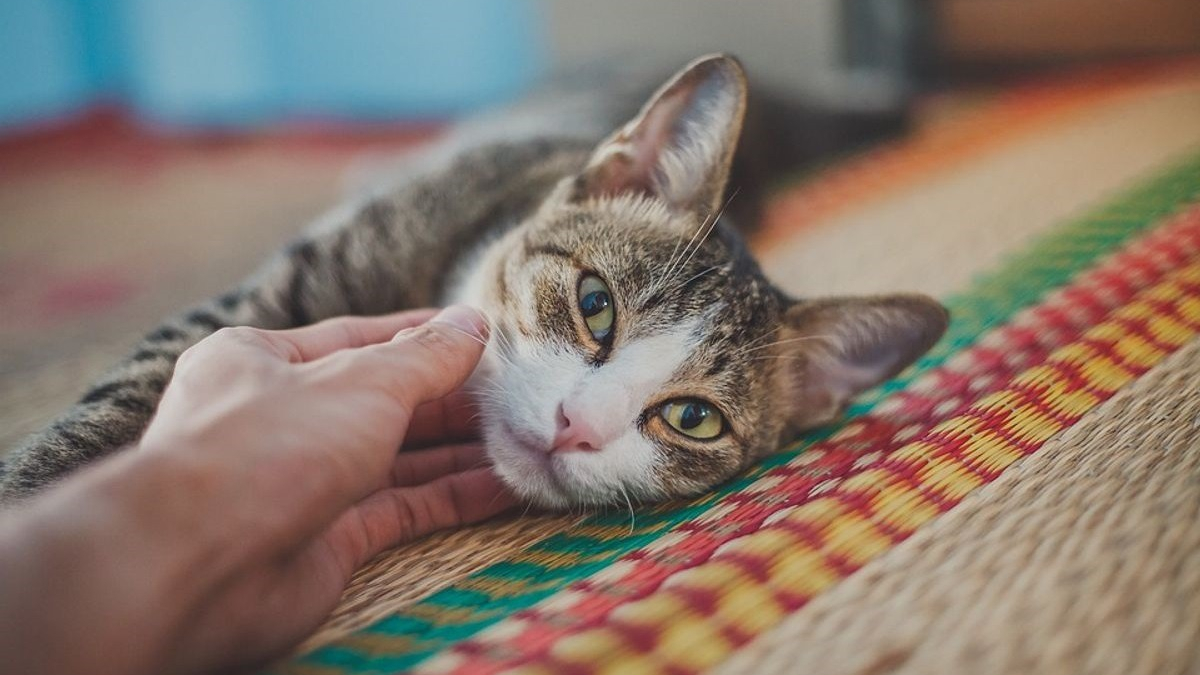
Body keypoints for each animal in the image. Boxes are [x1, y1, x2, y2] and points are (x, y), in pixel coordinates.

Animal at [2, 53, 945, 504]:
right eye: (595, 305)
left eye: (692, 419)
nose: (575, 427)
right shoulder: (276, 293)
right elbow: (120, 398)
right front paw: (34, 498)